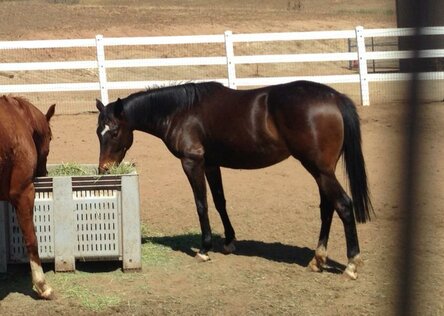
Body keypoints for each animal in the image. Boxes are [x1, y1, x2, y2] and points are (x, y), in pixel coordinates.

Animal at [95, 81, 372, 278]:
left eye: (115, 132)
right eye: (99, 132)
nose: (103, 169)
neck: (182, 111)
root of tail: (334, 97)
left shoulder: (192, 163)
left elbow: (202, 204)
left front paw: (204, 249)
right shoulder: (211, 164)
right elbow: (220, 202)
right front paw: (229, 241)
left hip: (320, 170)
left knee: (343, 205)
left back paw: (351, 264)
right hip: (321, 171)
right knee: (327, 208)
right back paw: (317, 260)